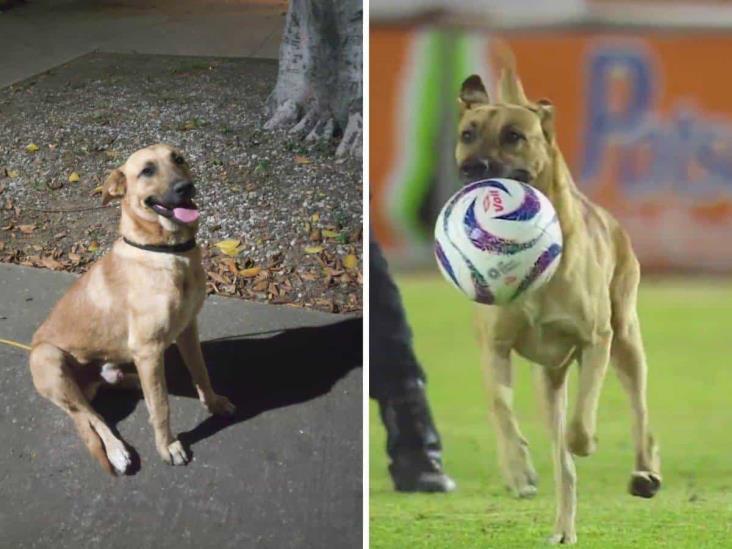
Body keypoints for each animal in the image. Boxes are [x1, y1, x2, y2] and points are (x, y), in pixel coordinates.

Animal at [28, 143, 233, 474]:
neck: (165, 252)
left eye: (178, 159)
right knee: (92, 416)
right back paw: (117, 451)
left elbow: (201, 373)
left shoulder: (188, 329)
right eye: (147, 170)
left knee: (111, 391)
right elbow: (161, 408)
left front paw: (213, 403)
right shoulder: (148, 349)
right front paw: (168, 446)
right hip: (48, 359)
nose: (185, 187)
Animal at [454, 67, 660, 540]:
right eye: (467, 134)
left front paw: (585, 442)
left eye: (514, 136)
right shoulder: (495, 348)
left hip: (627, 339)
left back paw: (644, 472)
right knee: (563, 465)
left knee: (639, 413)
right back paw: (563, 525)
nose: (472, 168)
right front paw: (518, 471)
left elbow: (582, 424)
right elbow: (500, 407)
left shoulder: (595, 340)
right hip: (548, 378)